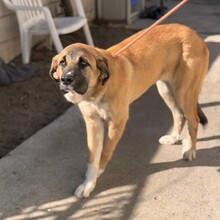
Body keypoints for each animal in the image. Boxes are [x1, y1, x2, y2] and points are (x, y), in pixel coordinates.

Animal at [49, 23, 209, 198]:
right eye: (62, 63)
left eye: (83, 63)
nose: (66, 79)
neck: (98, 89)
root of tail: (194, 33)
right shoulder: (93, 123)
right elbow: (92, 156)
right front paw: (88, 184)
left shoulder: (117, 123)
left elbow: (105, 152)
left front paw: (97, 174)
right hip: (165, 89)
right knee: (179, 115)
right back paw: (173, 138)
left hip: (184, 92)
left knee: (193, 119)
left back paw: (190, 149)